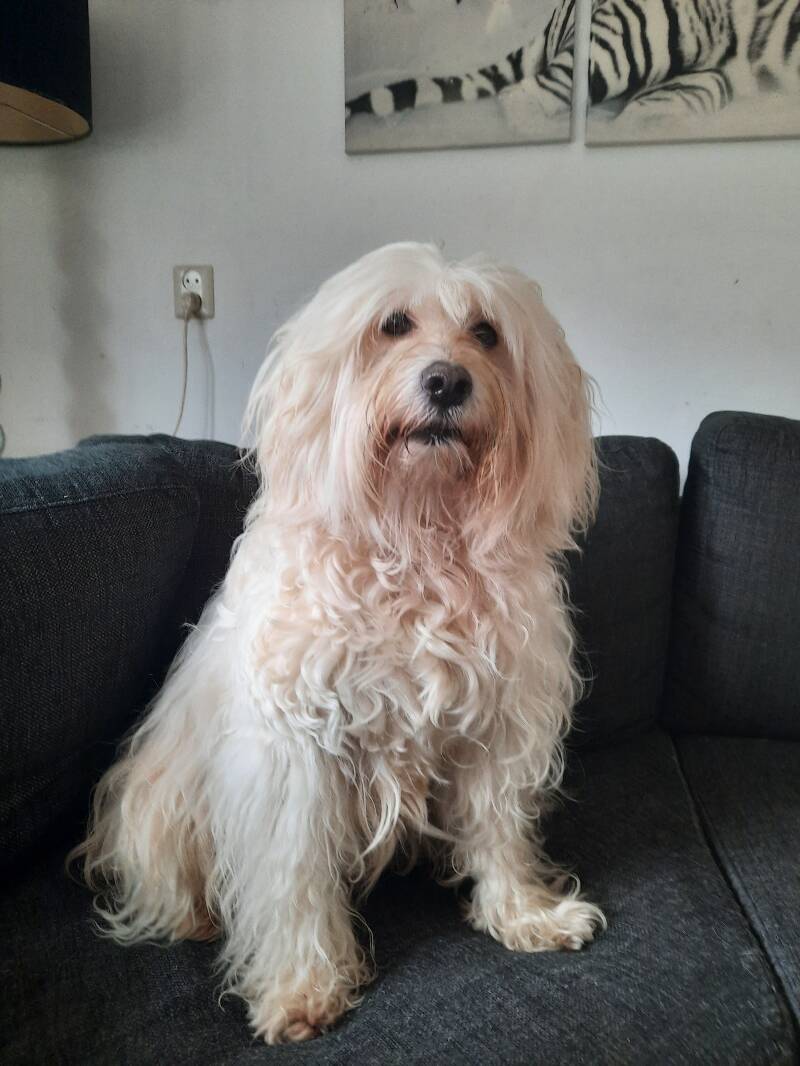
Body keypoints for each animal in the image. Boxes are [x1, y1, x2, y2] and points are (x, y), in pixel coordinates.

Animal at [73, 242, 605, 1044]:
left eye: (486, 333)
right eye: (394, 324)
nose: (446, 381)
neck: (419, 536)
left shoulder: (499, 726)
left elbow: (500, 830)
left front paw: (525, 915)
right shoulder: (297, 755)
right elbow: (294, 880)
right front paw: (303, 986)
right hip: (159, 806)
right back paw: (197, 919)